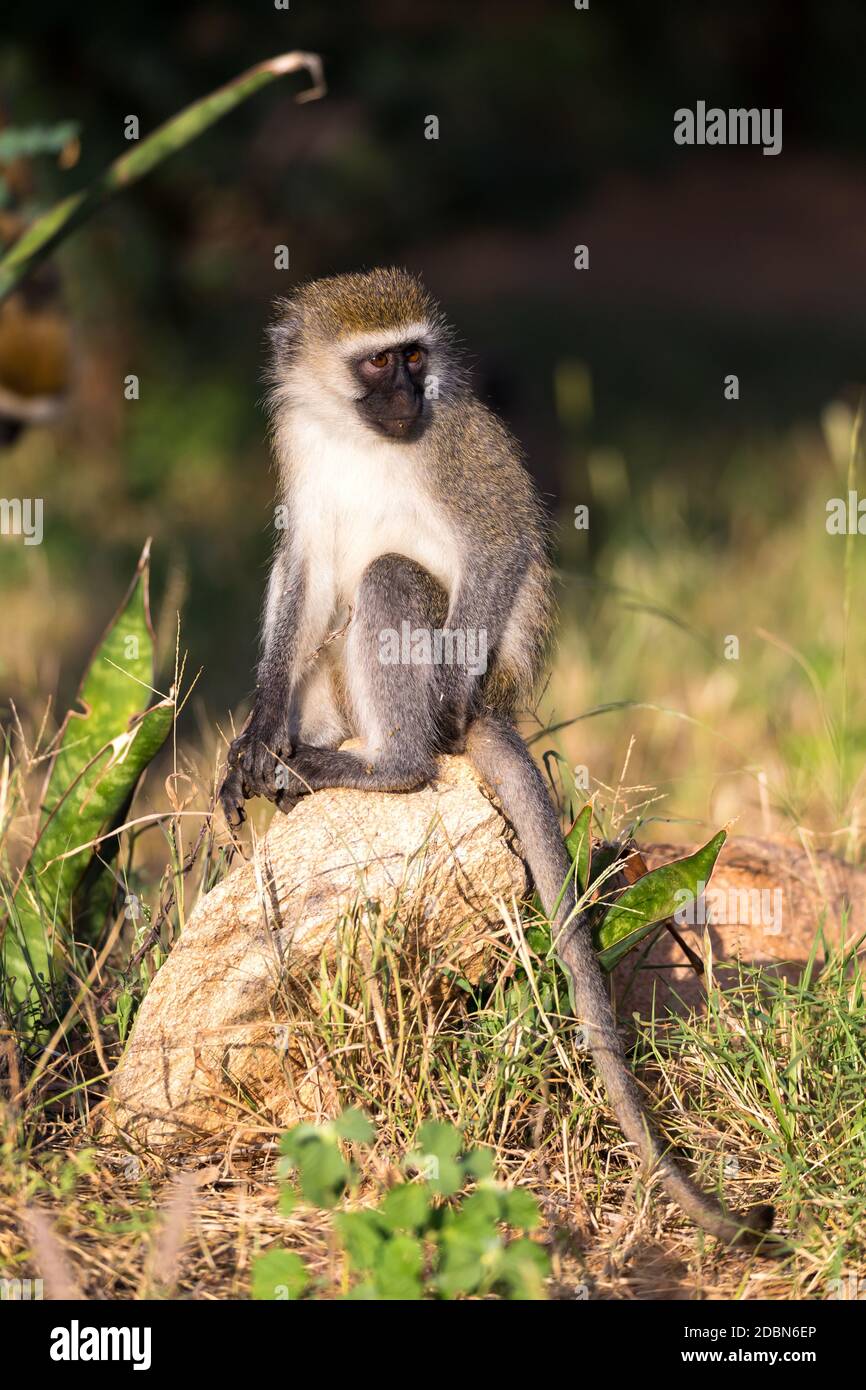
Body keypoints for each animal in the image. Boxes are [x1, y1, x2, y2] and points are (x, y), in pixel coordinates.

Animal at [219, 268, 778, 1251]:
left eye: (416, 357)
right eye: (379, 364)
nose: (409, 399)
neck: (359, 435)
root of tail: (500, 705)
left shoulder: (457, 447)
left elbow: (499, 540)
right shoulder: (302, 445)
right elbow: (303, 568)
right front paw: (258, 729)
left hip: (476, 686)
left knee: (391, 584)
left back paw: (394, 761)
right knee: (337, 600)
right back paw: (299, 765)